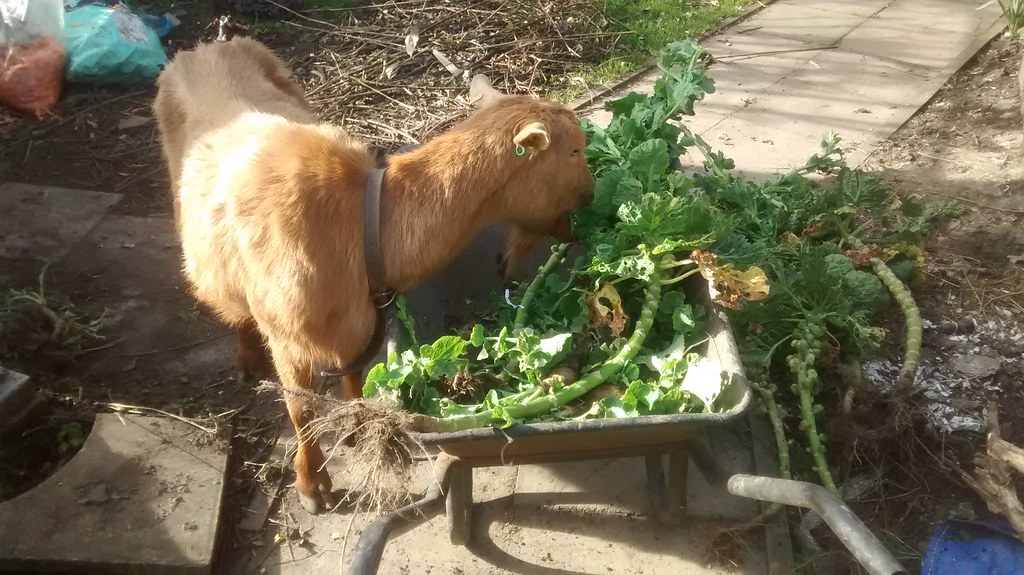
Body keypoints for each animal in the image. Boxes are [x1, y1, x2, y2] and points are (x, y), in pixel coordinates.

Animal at [153, 37, 595, 514]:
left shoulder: (361, 321)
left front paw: (358, 427)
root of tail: (207, 46)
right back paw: (247, 359)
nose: (590, 197)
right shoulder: (289, 340)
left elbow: (355, 374)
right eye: (574, 150)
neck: (363, 222)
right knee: (231, 305)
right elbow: (301, 411)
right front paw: (313, 485)